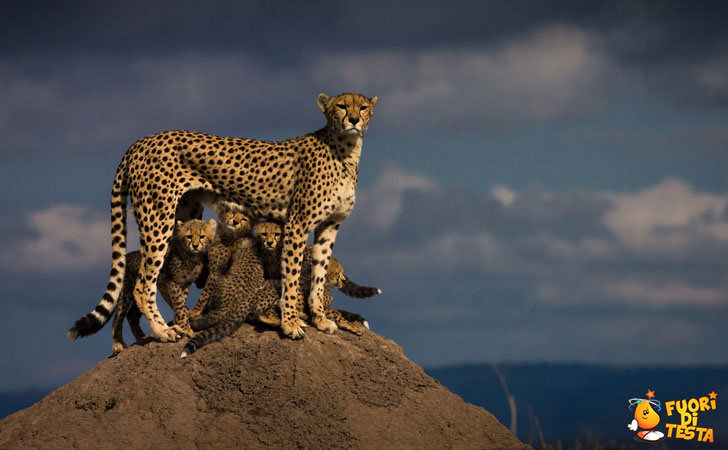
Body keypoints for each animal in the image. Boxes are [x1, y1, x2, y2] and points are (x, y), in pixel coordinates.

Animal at [95, 94, 376, 342]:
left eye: (362, 107)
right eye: (341, 106)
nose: (353, 120)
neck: (346, 150)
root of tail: (140, 142)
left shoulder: (329, 226)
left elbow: (319, 273)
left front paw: (319, 318)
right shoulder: (297, 224)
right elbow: (292, 275)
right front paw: (291, 323)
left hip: (186, 215)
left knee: (171, 277)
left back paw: (183, 322)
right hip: (157, 217)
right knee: (143, 284)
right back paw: (164, 331)